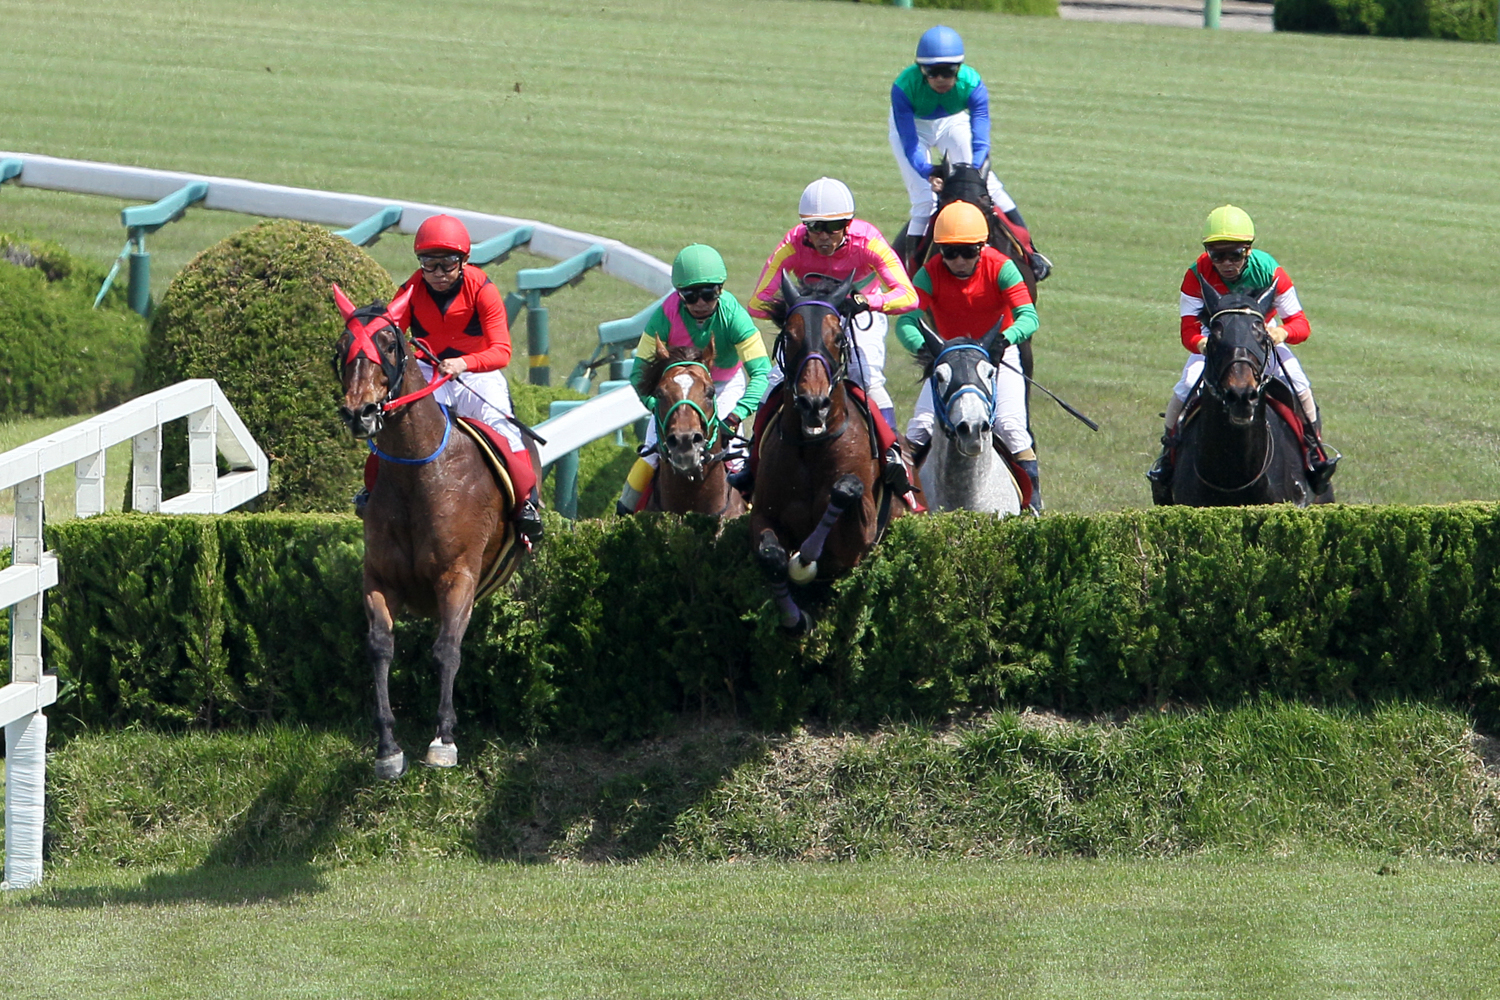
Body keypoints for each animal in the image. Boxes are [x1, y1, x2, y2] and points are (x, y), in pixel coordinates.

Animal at [333, 284, 534, 779]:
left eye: (388, 343)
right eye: (342, 347)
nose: (360, 412)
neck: (417, 472)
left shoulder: (457, 575)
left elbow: (446, 649)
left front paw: (443, 738)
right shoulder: (378, 578)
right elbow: (380, 646)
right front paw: (388, 746)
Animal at [750, 271, 900, 632]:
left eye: (838, 337)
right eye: (789, 336)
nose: (814, 404)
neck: (811, 447)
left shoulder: (859, 542)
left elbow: (845, 489)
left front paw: (805, 557)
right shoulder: (762, 513)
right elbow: (771, 556)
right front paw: (795, 619)